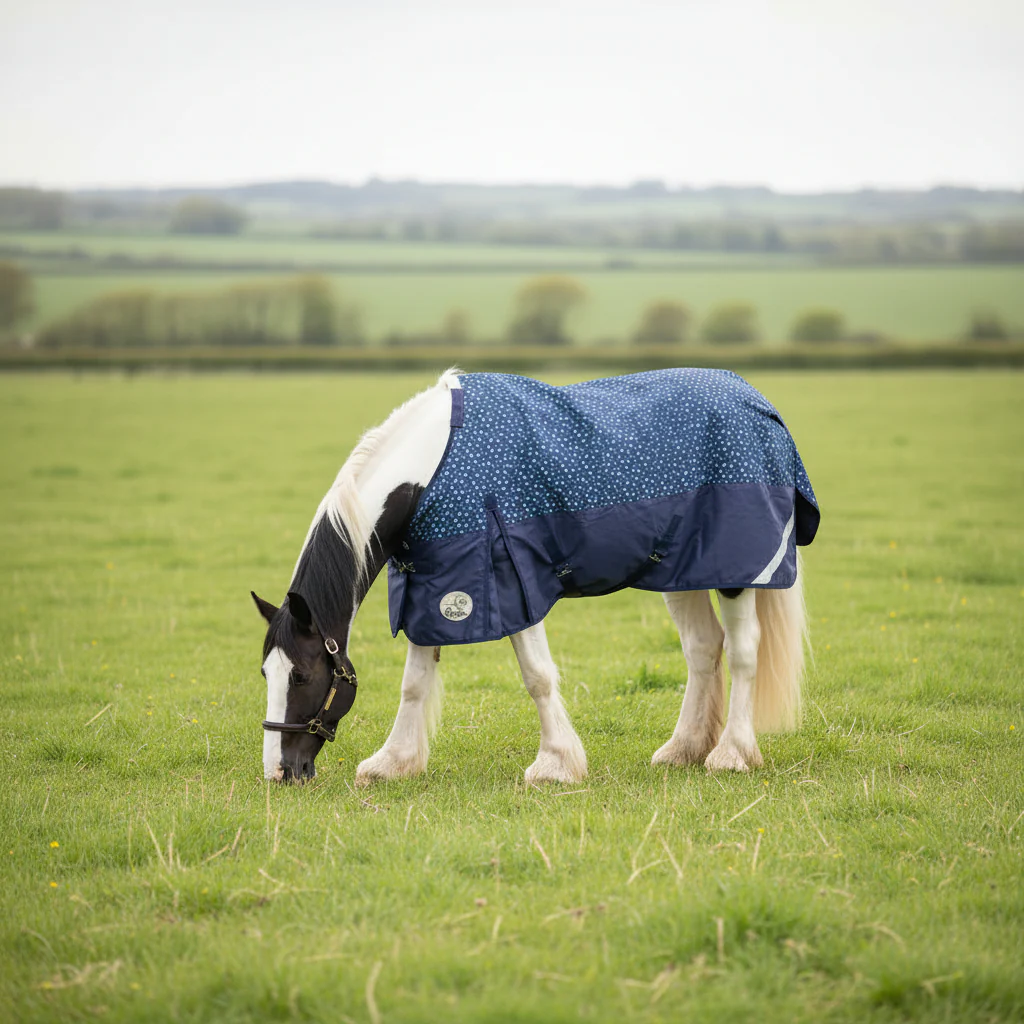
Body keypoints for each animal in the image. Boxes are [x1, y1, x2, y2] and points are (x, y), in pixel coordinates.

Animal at [253, 368, 819, 784]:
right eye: (265, 673)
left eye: (300, 676)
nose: (280, 772)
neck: (432, 471)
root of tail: (760, 405)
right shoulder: (434, 585)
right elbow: (414, 683)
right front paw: (392, 763)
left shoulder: (508, 582)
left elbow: (537, 676)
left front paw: (555, 765)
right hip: (681, 572)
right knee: (703, 649)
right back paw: (683, 749)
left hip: (737, 572)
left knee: (743, 650)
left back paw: (732, 753)